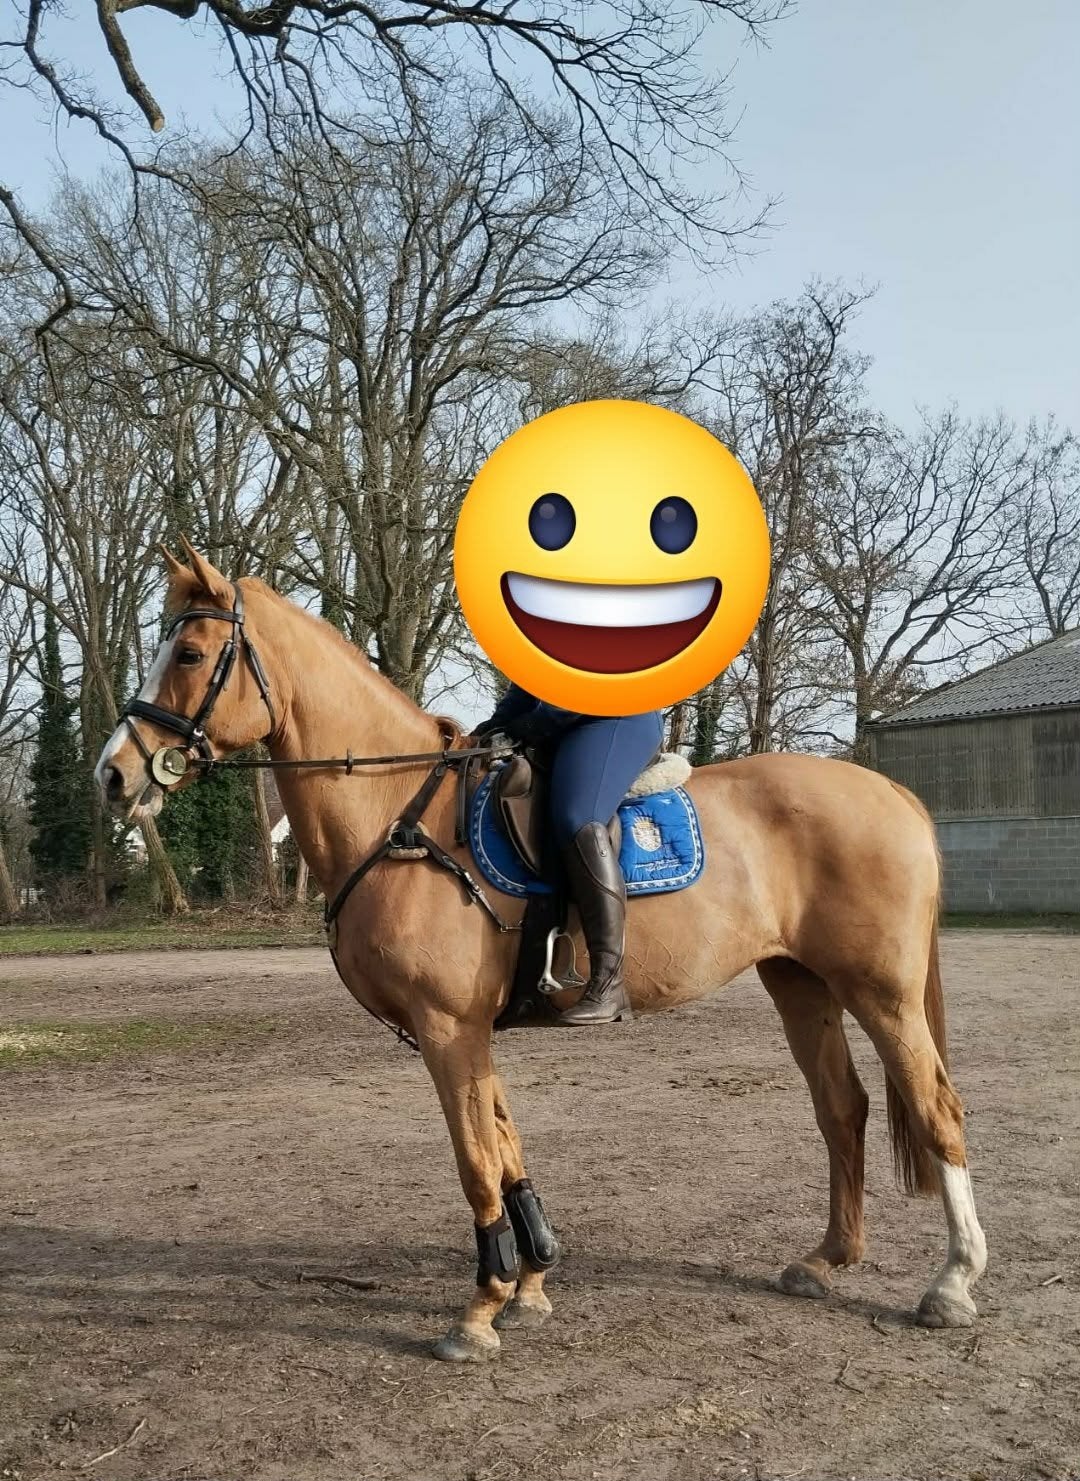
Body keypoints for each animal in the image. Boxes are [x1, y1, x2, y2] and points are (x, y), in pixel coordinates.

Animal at [94, 542, 987, 1362]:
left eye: (189, 653)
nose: (113, 774)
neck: (401, 814)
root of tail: (889, 790)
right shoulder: (470, 1031)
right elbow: (507, 1147)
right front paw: (531, 1282)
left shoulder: (449, 1029)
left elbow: (476, 1162)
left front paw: (480, 1308)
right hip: (800, 984)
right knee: (842, 1108)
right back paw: (828, 1259)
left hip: (882, 992)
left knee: (937, 1110)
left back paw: (951, 1282)